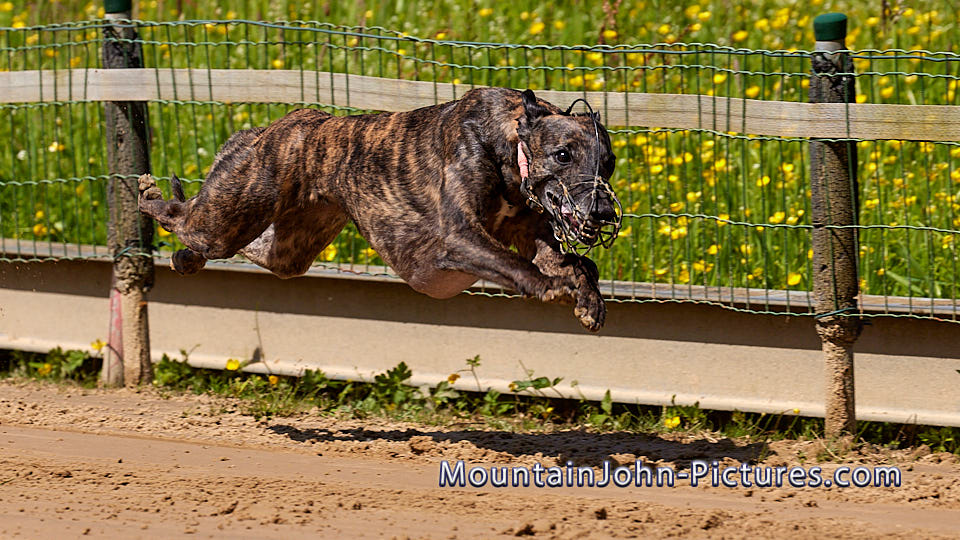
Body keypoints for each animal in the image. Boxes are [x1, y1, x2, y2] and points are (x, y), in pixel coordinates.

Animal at [138, 88, 621, 331]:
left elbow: (576, 263)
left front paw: (590, 304)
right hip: (228, 214)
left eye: (610, 161)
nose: (601, 212)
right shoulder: (459, 237)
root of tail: (282, 124)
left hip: (290, 248)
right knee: (182, 216)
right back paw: (148, 192)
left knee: (247, 248)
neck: (508, 138)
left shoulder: (533, 233)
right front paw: (549, 287)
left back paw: (184, 259)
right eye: (563, 154)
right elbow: (516, 263)